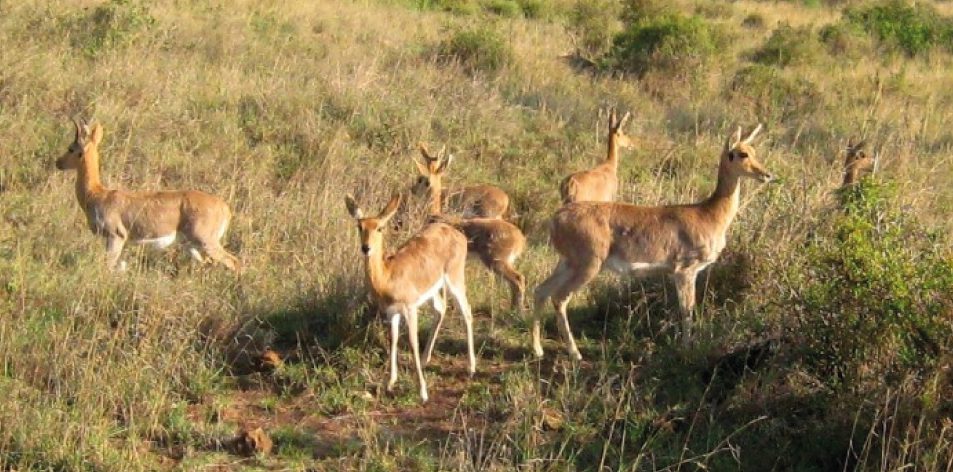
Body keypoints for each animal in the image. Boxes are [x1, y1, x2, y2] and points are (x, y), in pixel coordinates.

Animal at [55, 117, 240, 272]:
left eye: (71, 148)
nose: (58, 162)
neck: (97, 194)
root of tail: (225, 208)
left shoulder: (116, 236)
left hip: (206, 241)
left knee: (234, 262)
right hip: (192, 246)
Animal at [344, 192, 474, 402]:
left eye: (379, 227)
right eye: (359, 226)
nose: (366, 248)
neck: (388, 277)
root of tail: (457, 234)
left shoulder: (410, 309)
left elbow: (412, 343)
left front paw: (423, 392)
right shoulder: (391, 313)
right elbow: (394, 340)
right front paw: (390, 383)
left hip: (455, 279)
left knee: (466, 311)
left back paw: (471, 368)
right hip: (434, 290)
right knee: (441, 309)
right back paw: (425, 359)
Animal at [410, 143, 528, 314]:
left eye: (421, 179)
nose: (412, 189)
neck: (435, 215)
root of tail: (520, 240)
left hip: (496, 260)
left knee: (518, 279)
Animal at [532, 124, 768, 358]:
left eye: (754, 150)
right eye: (741, 153)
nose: (766, 174)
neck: (708, 213)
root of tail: (556, 218)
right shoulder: (684, 271)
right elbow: (686, 310)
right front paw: (686, 349)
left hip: (567, 262)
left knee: (541, 290)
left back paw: (538, 350)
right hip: (587, 265)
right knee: (559, 298)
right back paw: (575, 353)